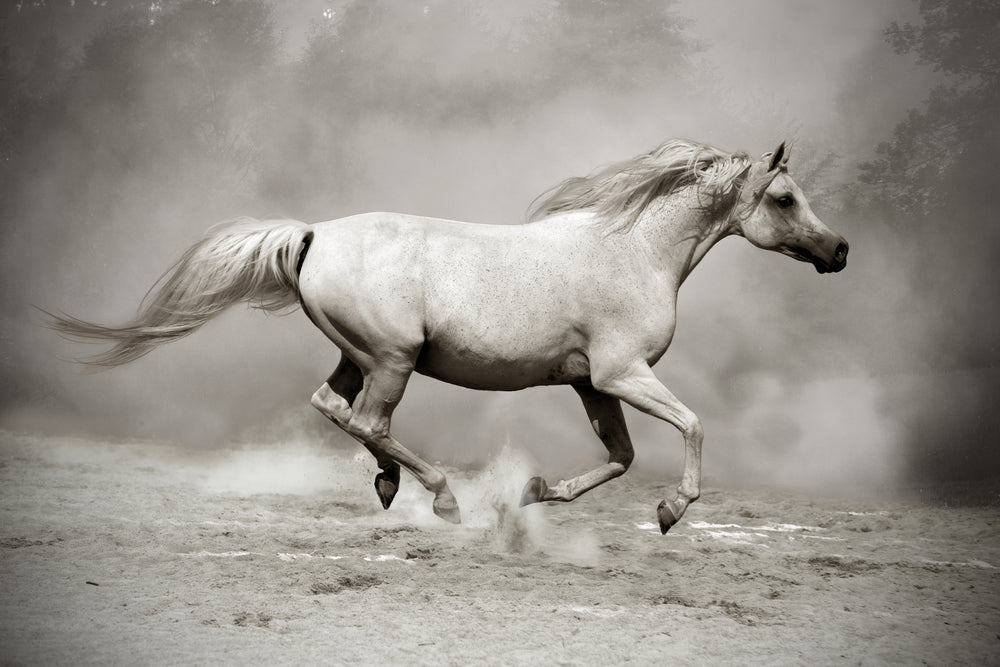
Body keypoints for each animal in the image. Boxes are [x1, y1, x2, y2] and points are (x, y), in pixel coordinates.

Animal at [47, 139, 848, 534]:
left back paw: (391, 482)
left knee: (333, 407)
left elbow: (619, 457)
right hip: (393, 359)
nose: (839, 250)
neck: (632, 250)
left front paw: (535, 492)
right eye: (784, 198)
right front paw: (672, 511)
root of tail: (313, 233)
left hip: (358, 356)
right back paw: (439, 498)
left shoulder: (592, 383)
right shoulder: (622, 373)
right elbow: (693, 425)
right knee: (368, 420)